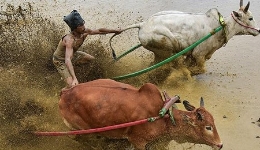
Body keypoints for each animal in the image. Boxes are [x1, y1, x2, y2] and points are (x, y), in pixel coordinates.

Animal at [59, 79, 223, 149]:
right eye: (208, 127)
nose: (220, 145)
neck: (164, 117)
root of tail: (65, 93)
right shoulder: (138, 142)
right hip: (78, 129)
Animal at [110, 0, 260, 75]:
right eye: (250, 18)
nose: (258, 30)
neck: (221, 27)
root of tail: (142, 24)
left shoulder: (192, 54)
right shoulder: (199, 54)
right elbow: (200, 70)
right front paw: (189, 73)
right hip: (166, 48)